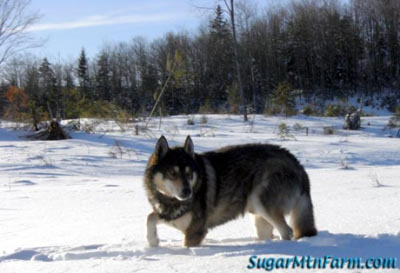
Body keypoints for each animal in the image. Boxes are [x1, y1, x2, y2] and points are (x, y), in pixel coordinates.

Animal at [143, 135, 316, 245]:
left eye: (189, 173)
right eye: (172, 173)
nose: (187, 192)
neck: (169, 200)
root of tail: (298, 165)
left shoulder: (195, 231)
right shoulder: (169, 215)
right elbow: (149, 218)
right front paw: (153, 241)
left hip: (262, 204)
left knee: (287, 231)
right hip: (259, 217)